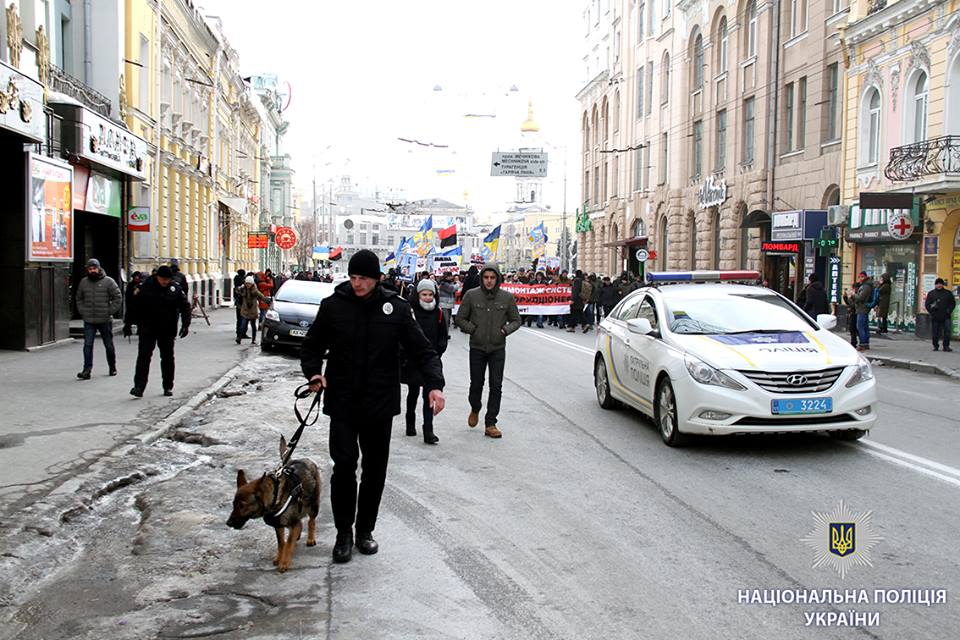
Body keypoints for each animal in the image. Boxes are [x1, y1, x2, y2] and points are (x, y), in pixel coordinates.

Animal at [226, 438, 322, 572]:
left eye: (242, 506)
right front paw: (279, 558)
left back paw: (311, 538)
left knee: (311, 521)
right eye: (234, 504)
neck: (276, 496)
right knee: (299, 525)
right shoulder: (278, 525)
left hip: (314, 506)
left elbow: (288, 544)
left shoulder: (289, 522)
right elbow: (281, 543)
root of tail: (305, 460)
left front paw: (284, 563)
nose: (228, 523)